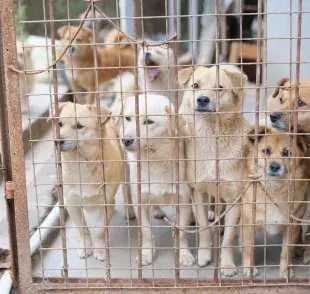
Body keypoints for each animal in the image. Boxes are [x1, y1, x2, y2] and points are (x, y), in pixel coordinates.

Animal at [48, 102, 133, 260]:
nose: (57, 141)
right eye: (60, 124)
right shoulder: (72, 203)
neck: (81, 164)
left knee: (127, 190)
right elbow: (83, 229)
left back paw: (129, 211)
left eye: (79, 126)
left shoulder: (107, 203)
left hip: (126, 170)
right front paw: (86, 247)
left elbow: (100, 230)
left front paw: (99, 251)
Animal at [120, 93, 195, 266]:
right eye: (128, 118)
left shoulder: (183, 202)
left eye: (148, 122)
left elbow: (182, 233)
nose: (126, 140)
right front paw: (146, 254)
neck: (155, 159)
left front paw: (184, 254)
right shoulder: (140, 202)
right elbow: (146, 232)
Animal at [178, 65, 251, 276]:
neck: (211, 137)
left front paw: (227, 265)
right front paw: (204, 255)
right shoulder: (199, 192)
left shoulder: (235, 197)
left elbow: (229, 239)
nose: (202, 99)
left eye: (219, 88)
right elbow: (203, 228)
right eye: (195, 85)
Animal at [243, 126, 308, 278]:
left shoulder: (291, 226)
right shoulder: (248, 224)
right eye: (266, 151)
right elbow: (248, 248)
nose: (274, 166)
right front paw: (249, 268)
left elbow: (286, 252)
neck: (274, 190)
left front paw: (285, 270)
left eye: (286, 152)